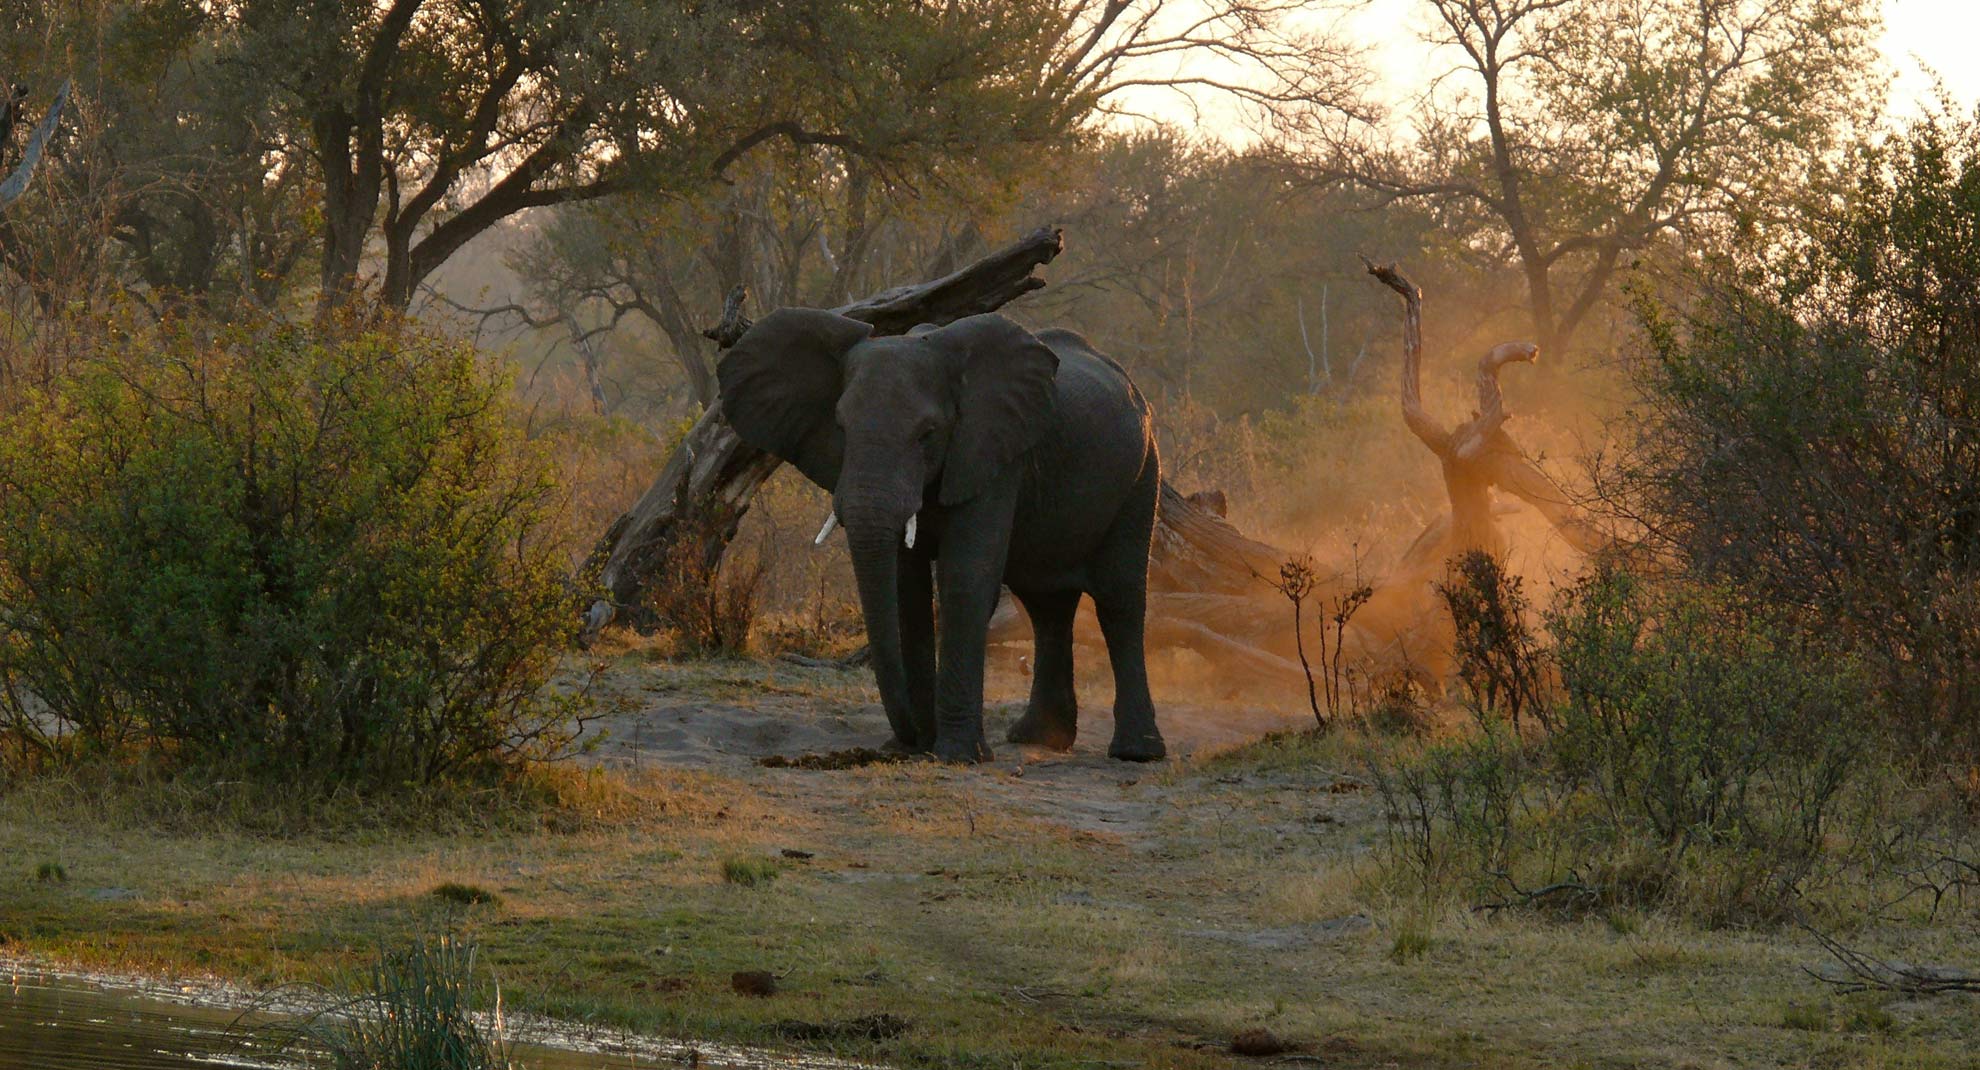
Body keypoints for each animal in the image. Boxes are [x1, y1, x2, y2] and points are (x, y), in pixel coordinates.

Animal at [717, 308, 1166, 764]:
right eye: (841, 426)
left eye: (928, 433)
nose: (910, 738)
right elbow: (906, 591)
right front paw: (916, 746)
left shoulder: (992, 453)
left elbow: (964, 580)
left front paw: (957, 755)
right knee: (1046, 606)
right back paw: (1038, 739)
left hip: (1142, 475)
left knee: (1120, 601)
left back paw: (1135, 753)